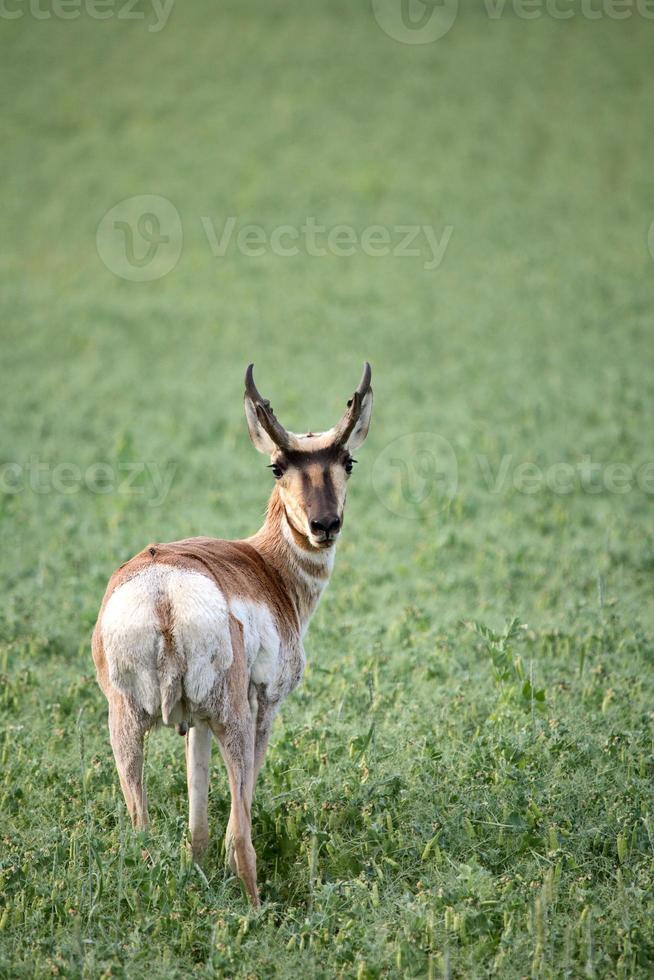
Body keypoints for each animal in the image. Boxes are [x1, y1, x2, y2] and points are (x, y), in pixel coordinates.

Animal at [91, 364, 374, 908]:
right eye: (277, 466)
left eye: (347, 460)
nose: (324, 525)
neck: (266, 565)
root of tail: (163, 587)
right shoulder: (265, 706)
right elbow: (239, 804)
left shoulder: (196, 724)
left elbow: (197, 815)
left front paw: (199, 866)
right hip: (233, 719)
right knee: (242, 833)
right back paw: (257, 907)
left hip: (128, 726)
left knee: (139, 827)